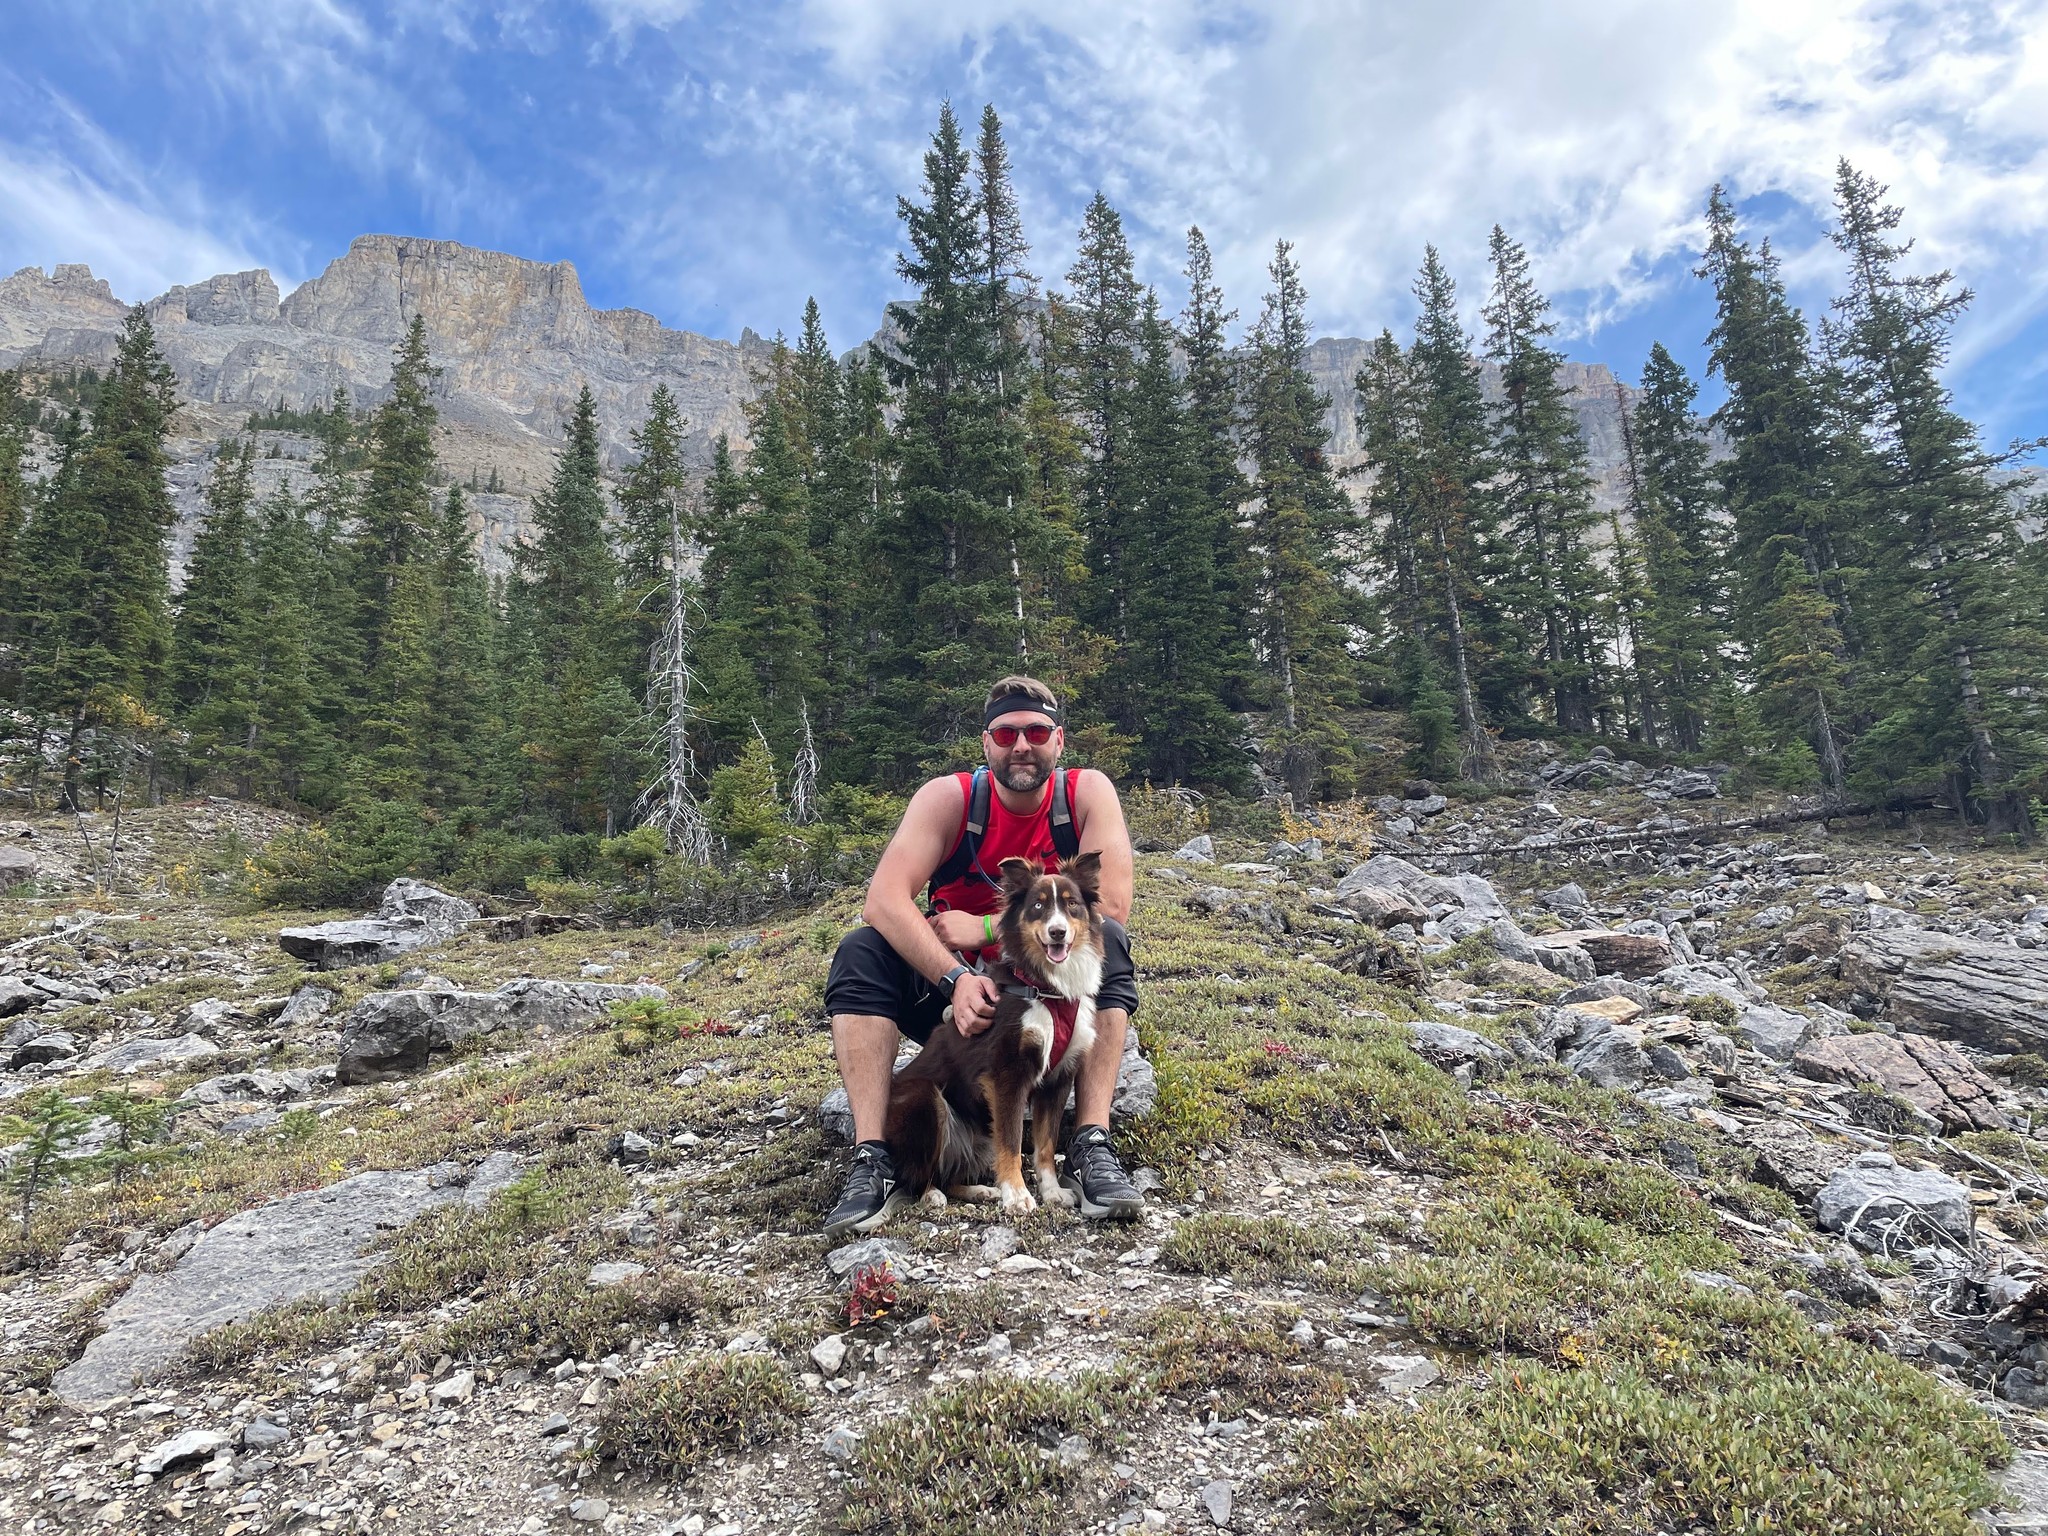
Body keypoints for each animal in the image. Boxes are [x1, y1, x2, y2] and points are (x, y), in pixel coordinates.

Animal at [880, 847, 1105, 1220]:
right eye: (1038, 906)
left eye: (1072, 904)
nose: (1057, 933)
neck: (1046, 990)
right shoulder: (1006, 1075)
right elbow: (1012, 1142)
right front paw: (1017, 1196)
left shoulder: (1057, 1079)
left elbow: (1045, 1146)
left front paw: (1051, 1191)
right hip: (925, 1099)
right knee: (919, 1176)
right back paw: (932, 1195)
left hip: (979, 1135)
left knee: (950, 1175)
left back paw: (981, 1190)